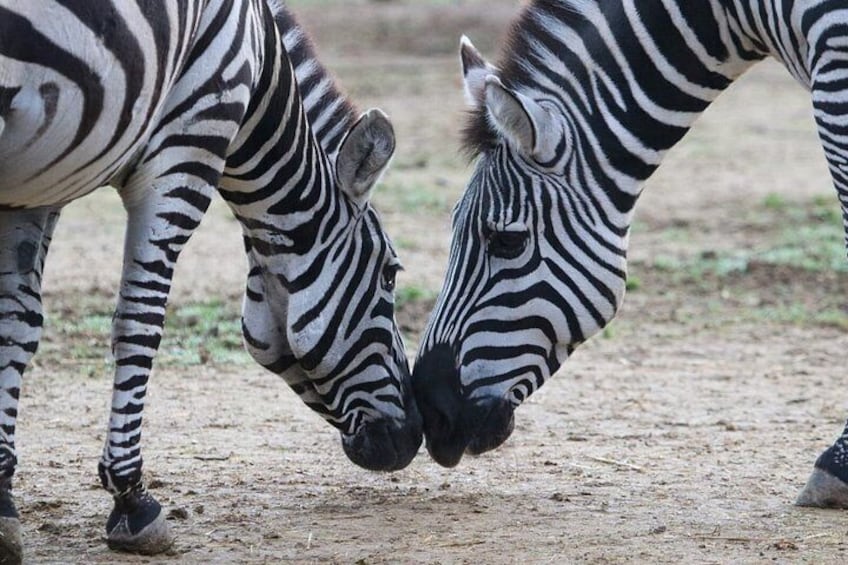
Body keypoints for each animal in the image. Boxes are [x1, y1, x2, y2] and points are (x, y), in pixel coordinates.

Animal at [0, 0, 421, 559]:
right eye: (391, 276)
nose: (414, 436)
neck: (261, 66)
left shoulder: (40, 181)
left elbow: (16, 325)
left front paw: (2, 501)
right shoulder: (187, 147)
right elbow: (139, 324)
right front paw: (132, 500)